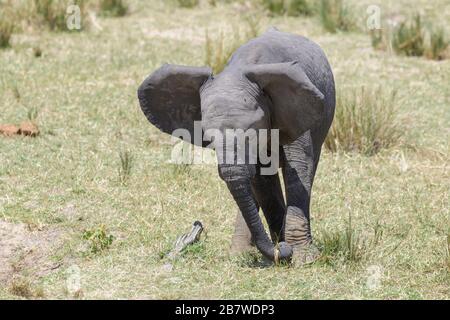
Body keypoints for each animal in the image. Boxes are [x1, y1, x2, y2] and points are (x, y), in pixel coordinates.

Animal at [137, 27, 334, 264]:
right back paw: (240, 253)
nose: (281, 248)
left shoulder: (294, 110)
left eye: (253, 131)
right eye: (209, 138)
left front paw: (302, 258)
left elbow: (298, 168)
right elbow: (261, 178)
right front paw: (280, 250)